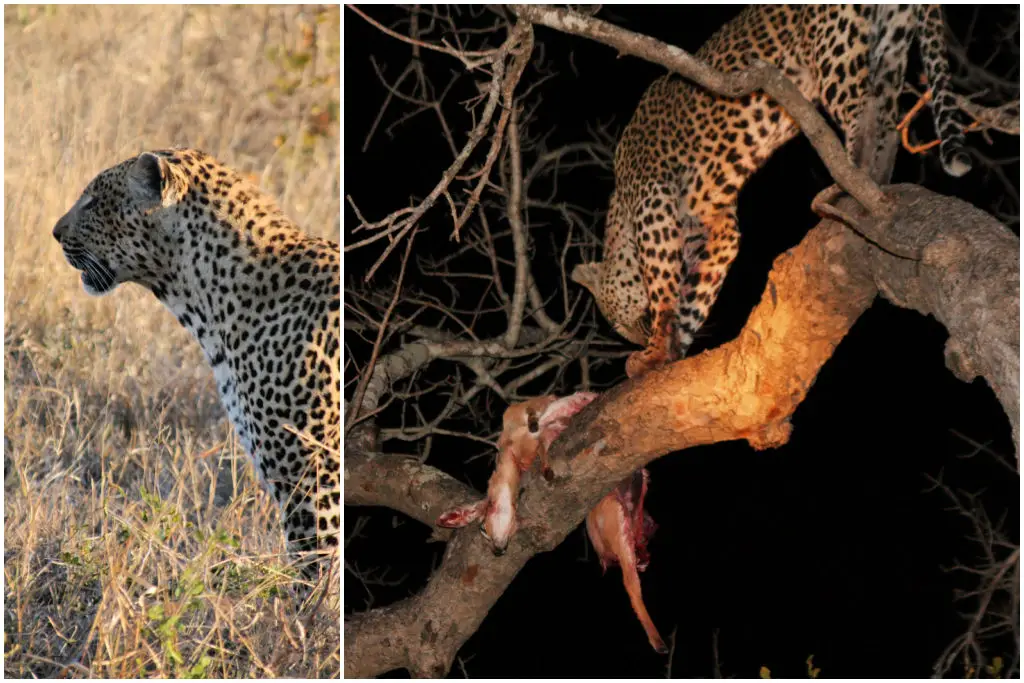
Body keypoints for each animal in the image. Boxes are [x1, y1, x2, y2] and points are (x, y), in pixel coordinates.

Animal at [572, 5, 972, 378]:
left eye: (618, 322)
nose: (634, 339)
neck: (621, 210)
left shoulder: (652, 199)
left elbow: (665, 289)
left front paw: (655, 350)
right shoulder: (719, 225)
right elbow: (696, 294)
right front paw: (673, 349)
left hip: (836, 44)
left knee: (859, 115)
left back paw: (848, 182)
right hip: (890, 43)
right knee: (885, 118)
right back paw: (876, 179)